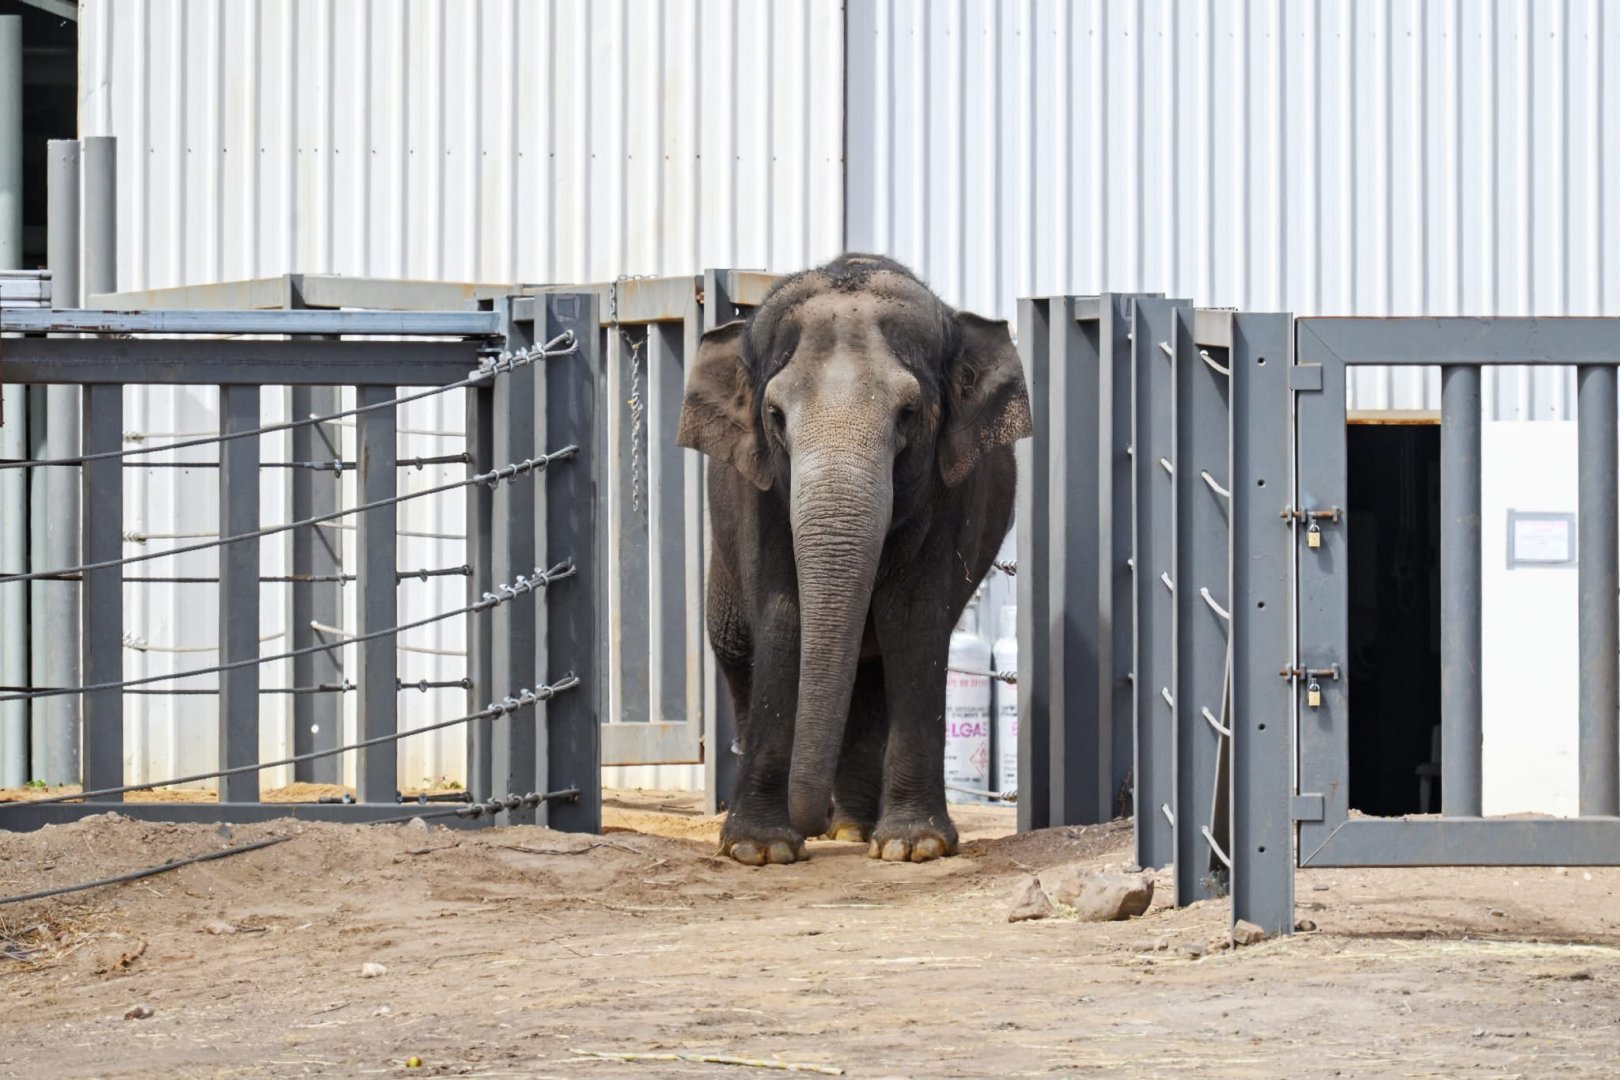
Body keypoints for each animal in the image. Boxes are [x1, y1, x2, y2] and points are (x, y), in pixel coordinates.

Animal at [676, 253, 1032, 866]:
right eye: (775, 414)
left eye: (909, 412)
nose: (809, 819)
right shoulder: (759, 496)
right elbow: (784, 617)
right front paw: (759, 849)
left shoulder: (946, 495)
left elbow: (913, 621)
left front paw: (916, 846)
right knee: (738, 647)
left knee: (872, 671)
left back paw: (851, 830)